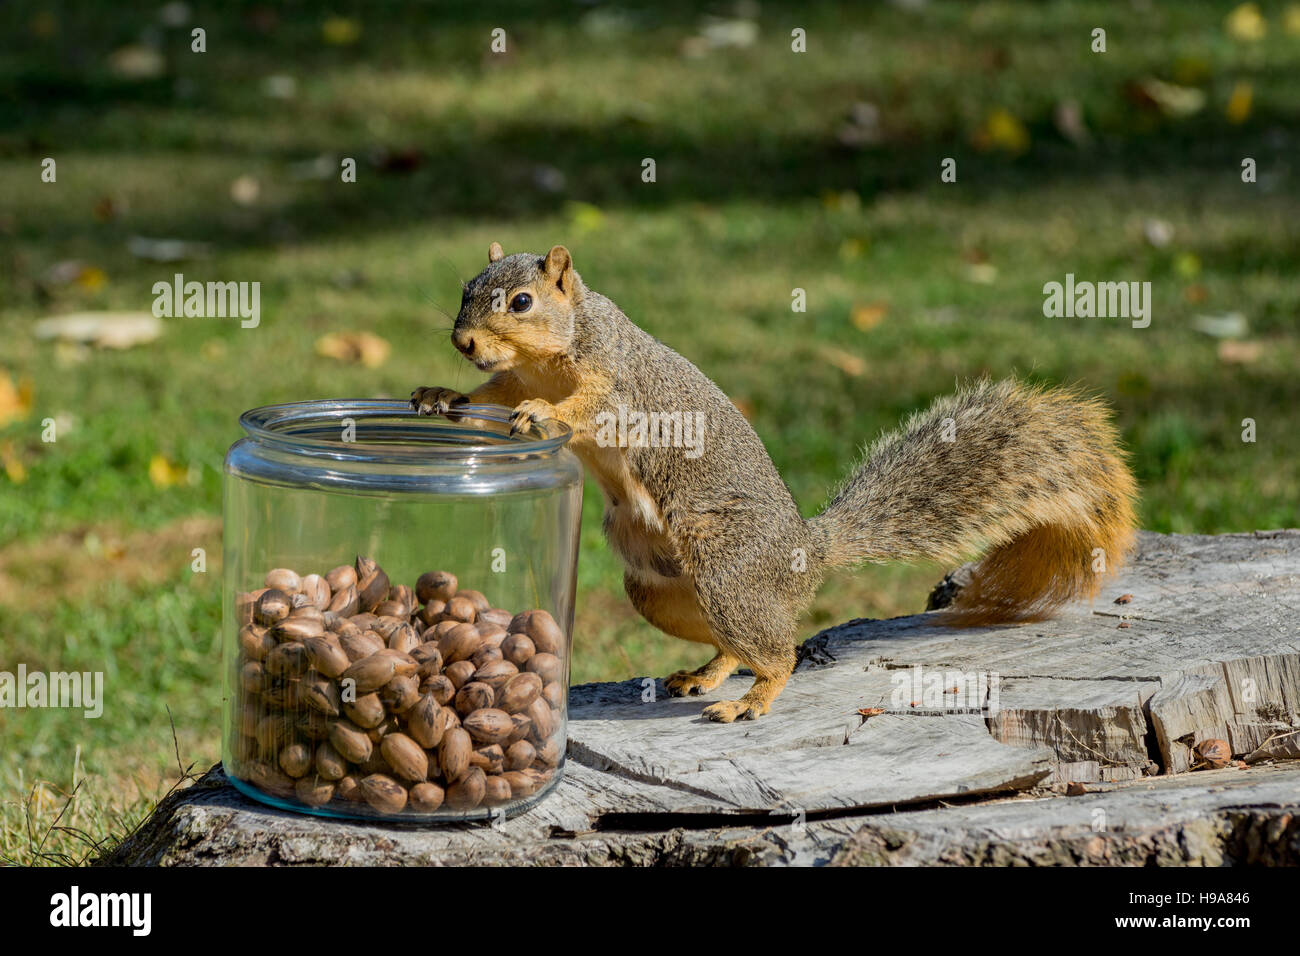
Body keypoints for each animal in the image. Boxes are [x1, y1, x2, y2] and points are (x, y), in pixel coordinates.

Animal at [410, 243, 1133, 723]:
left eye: (522, 301)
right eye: (466, 287)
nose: (463, 341)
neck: (549, 357)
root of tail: (806, 554)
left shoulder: (618, 386)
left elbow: (587, 410)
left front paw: (543, 414)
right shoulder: (509, 379)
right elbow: (489, 398)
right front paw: (441, 396)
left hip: (728, 574)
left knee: (778, 653)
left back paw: (751, 702)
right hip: (663, 593)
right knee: (736, 644)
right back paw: (708, 676)